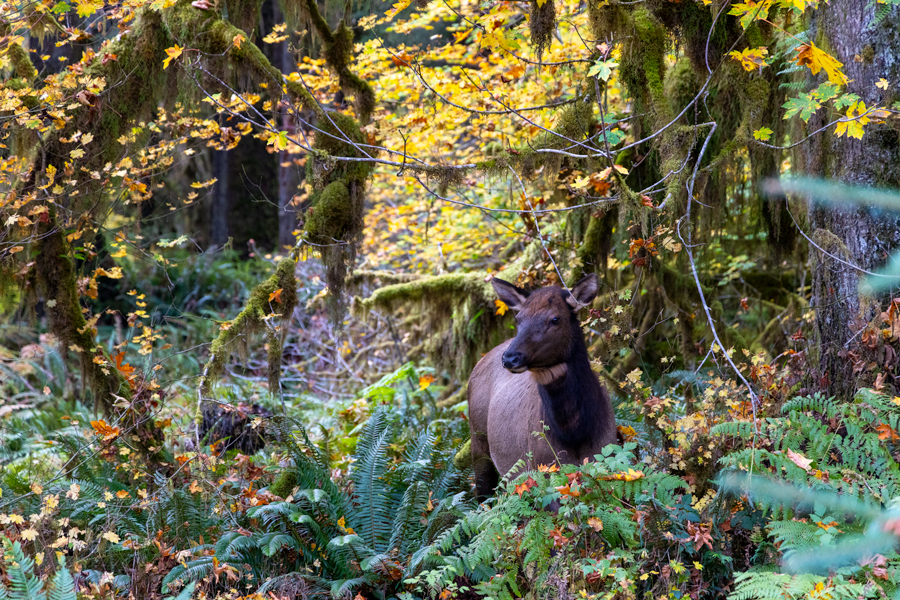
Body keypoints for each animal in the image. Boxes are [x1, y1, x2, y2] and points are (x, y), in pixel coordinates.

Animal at [468, 274, 616, 500]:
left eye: (555, 319)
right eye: (518, 319)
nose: (510, 358)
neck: (575, 431)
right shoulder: (543, 471)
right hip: (478, 442)